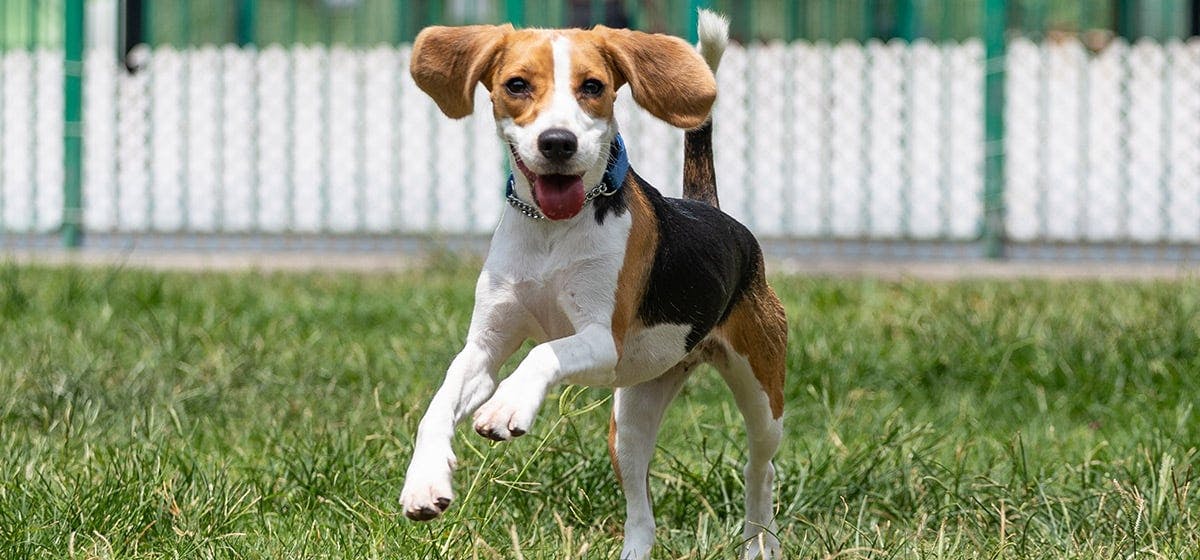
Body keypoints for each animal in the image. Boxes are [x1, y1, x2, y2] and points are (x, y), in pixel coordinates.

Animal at [398, 9, 782, 560]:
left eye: (593, 87)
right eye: (517, 85)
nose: (558, 142)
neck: (550, 230)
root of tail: (711, 209)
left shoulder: (603, 340)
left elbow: (544, 353)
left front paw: (507, 406)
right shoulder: (484, 348)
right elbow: (438, 405)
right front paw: (424, 482)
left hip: (762, 391)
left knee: (760, 469)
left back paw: (760, 542)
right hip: (630, 423)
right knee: (642, 515)